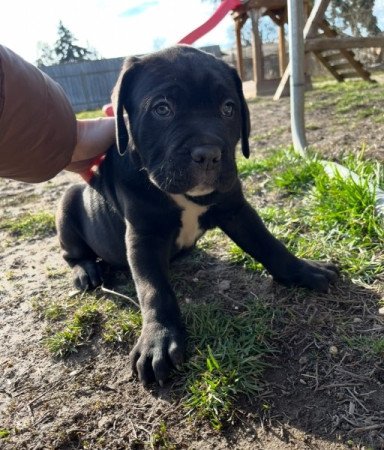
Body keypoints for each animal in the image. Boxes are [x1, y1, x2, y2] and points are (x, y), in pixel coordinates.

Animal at [56, 47, 336, 388]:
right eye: (162, 109)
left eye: (229, 108)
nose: (208, 154)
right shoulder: (142, 236)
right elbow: (153, 289)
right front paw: (159, 340)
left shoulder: (236, 210)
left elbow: (270, 245)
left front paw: (304, 270)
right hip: (67, 203)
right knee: (73, 253)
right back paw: (86, 271)